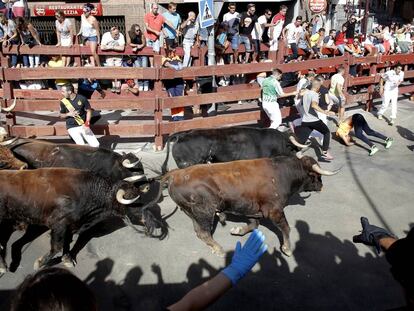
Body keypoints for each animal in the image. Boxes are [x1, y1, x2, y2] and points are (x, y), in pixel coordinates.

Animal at [160, 155, 338, 258]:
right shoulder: (274, 210)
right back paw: (219, 249)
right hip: (204, 212)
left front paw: (237, 230)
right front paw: (287, 248)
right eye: (316, 175)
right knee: (204, 232)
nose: (321, 186)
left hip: (193, 213)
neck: (283, 173)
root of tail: (175, 174)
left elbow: (254, 224)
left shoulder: (252, 209)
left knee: (199, 232)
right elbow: (286, 228)